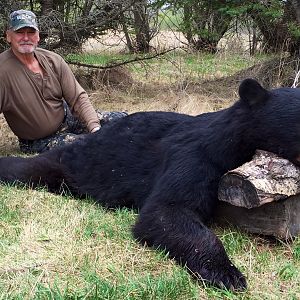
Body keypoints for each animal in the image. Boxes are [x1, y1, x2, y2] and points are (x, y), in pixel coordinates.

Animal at [0, 78, 300, 290]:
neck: (233, 143)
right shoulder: (197, 156)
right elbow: (167, 210)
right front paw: (227, 273)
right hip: (75, 163)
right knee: (30, 169)